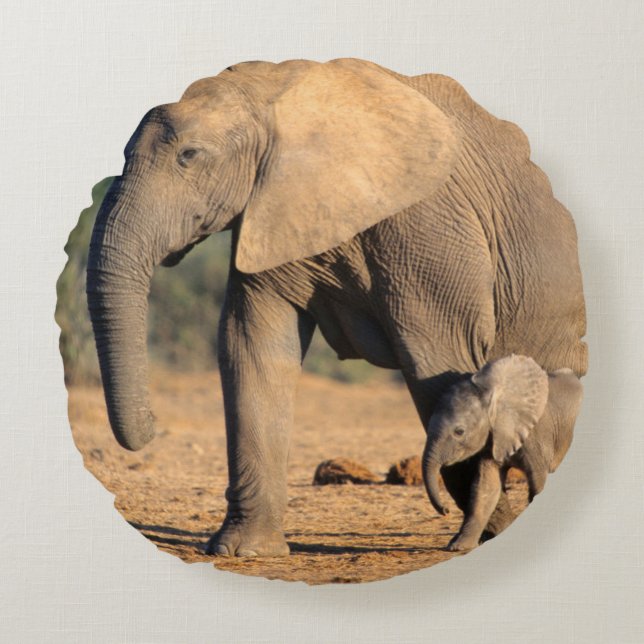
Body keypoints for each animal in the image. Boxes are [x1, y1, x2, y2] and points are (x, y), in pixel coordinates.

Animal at [422, 355, 584, 551]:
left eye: (459, 431)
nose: (445, 510)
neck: (494, 394)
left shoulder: (536, 434)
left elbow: (538, 481)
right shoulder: (493, 439)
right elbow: (485, 487)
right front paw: (458, 546)